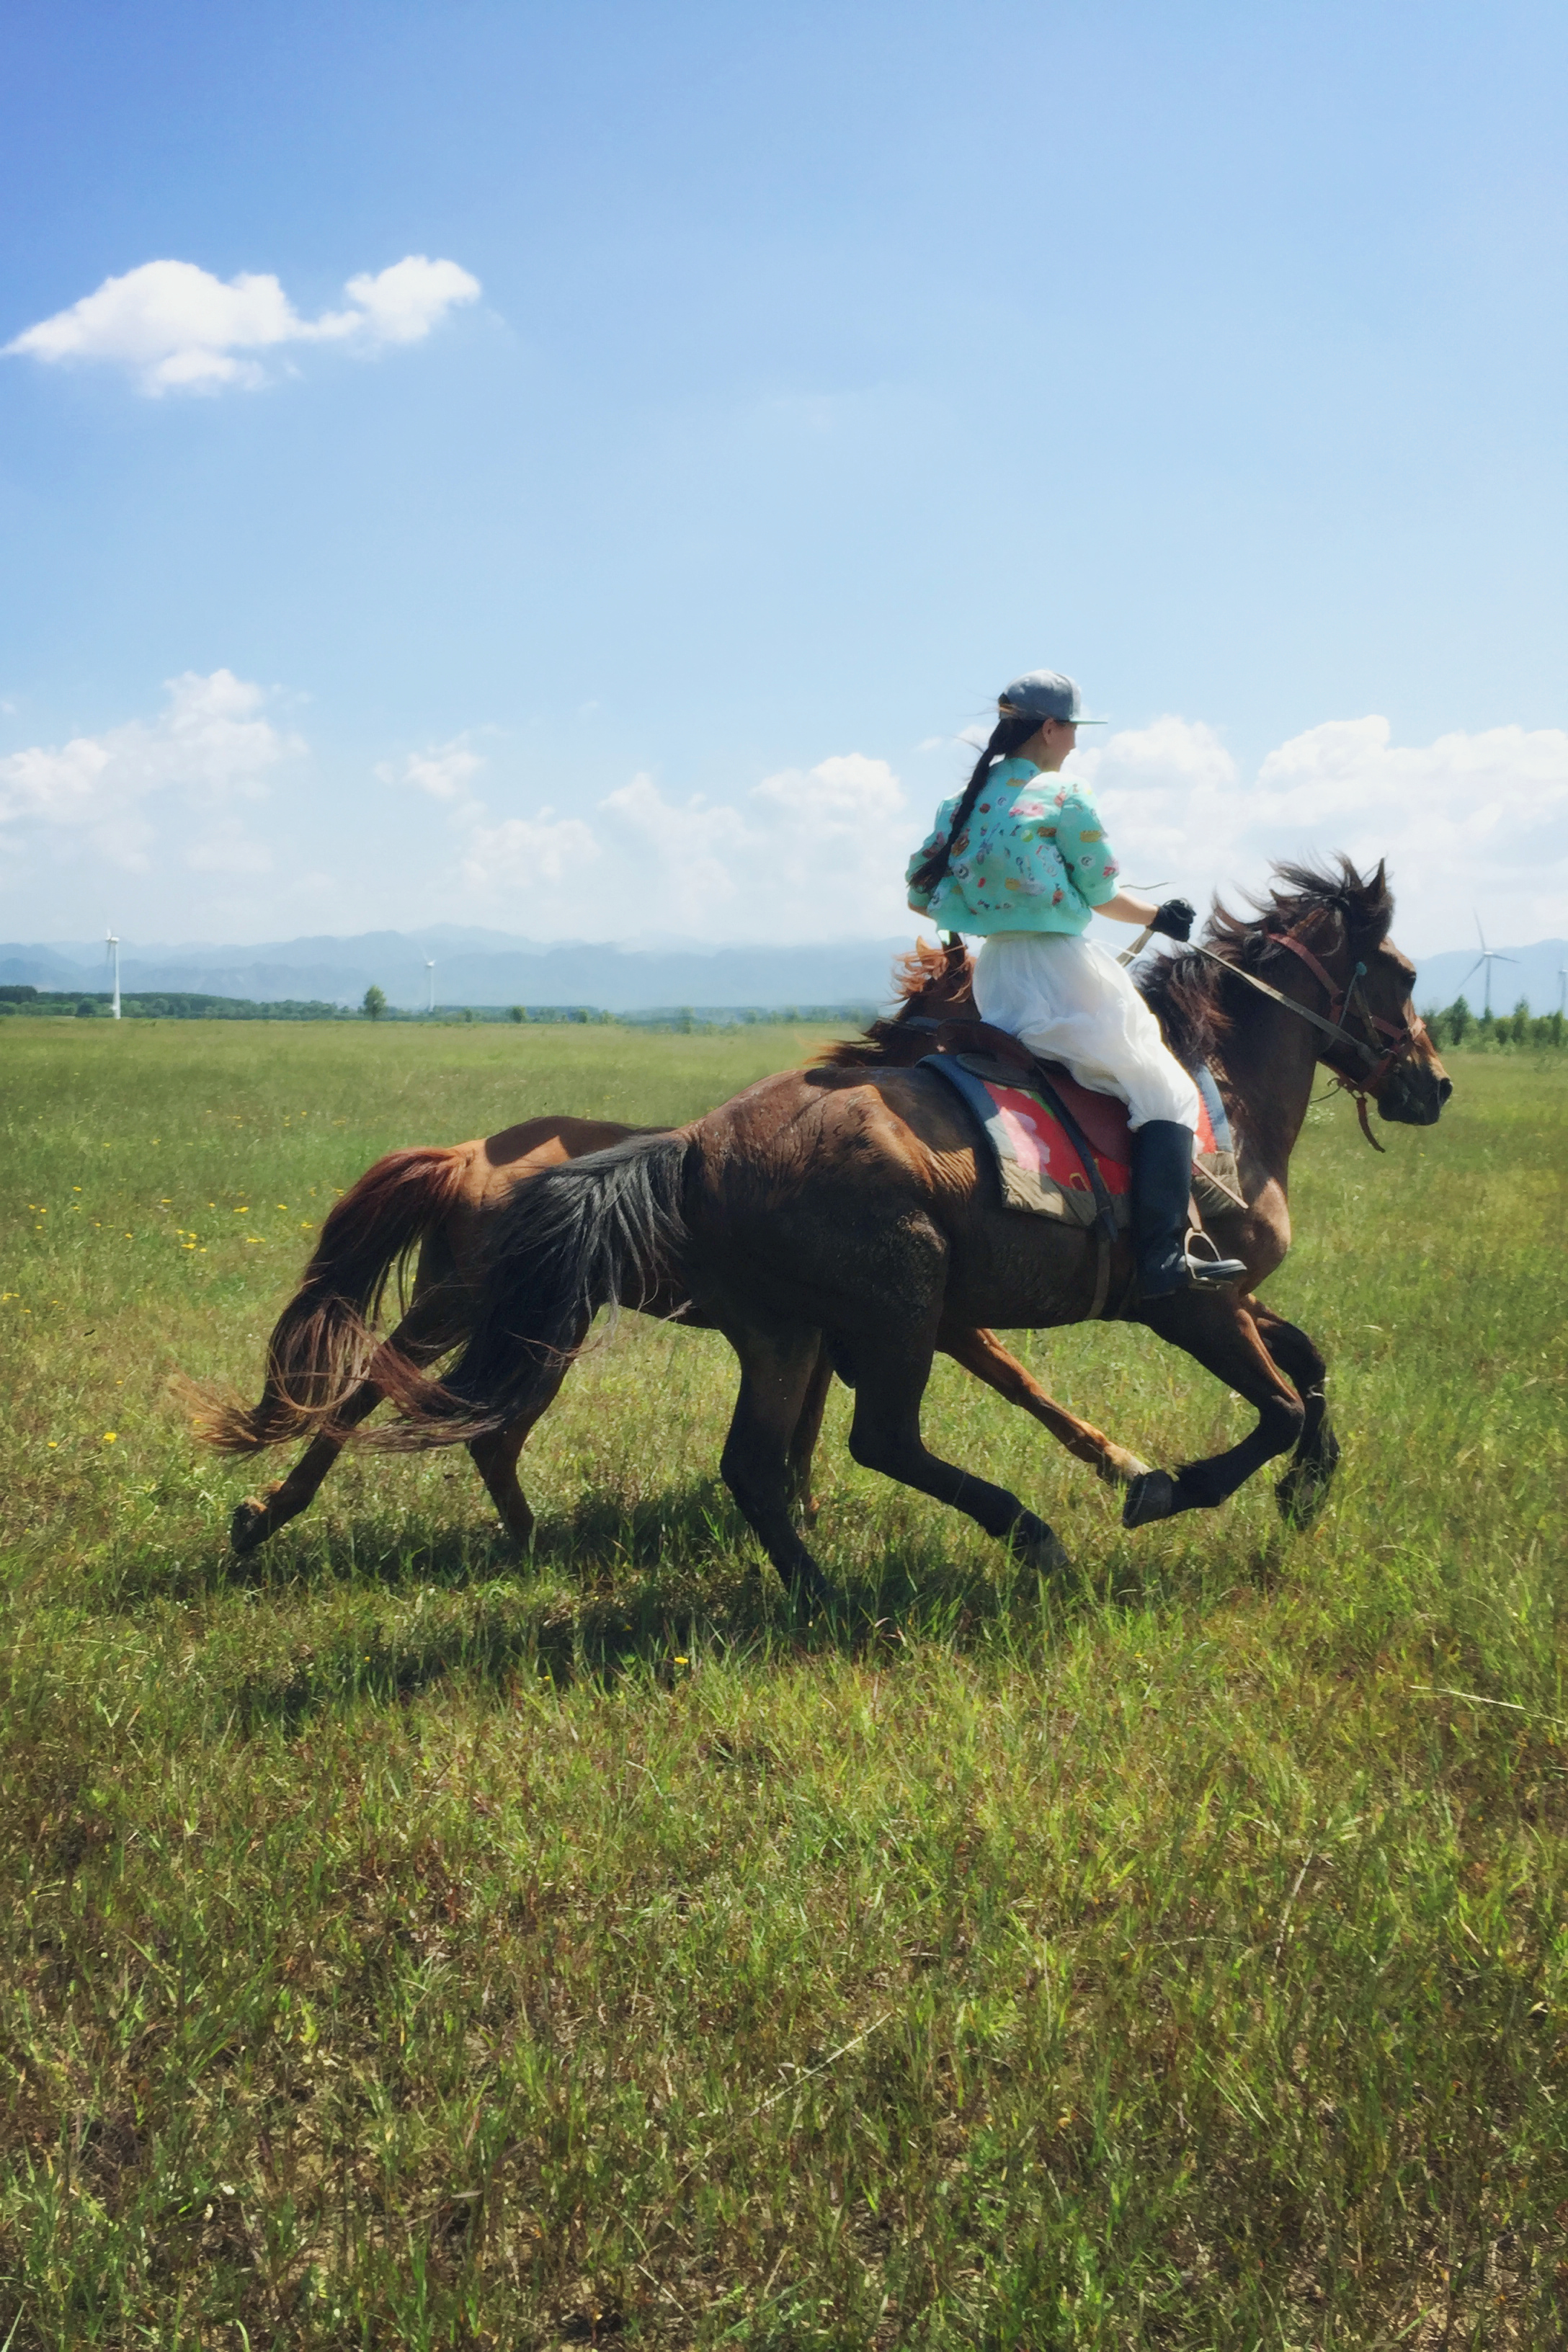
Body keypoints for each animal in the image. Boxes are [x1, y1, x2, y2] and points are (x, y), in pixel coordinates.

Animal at [352, 865, 1448, 1599]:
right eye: (1400, 973)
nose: (1433, 1085)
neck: (1218, 1088)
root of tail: (696, 1146)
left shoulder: (1231, 1290)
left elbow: (1308, 1365)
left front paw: (1308, 1487)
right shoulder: (1186, 1300)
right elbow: (1277, 1406)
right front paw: (1169, 1487)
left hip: (782, 1330)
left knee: (754, 1464)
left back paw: (817, 1593)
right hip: (895, 1309)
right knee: (880, 1438)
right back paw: (1024, 1533)